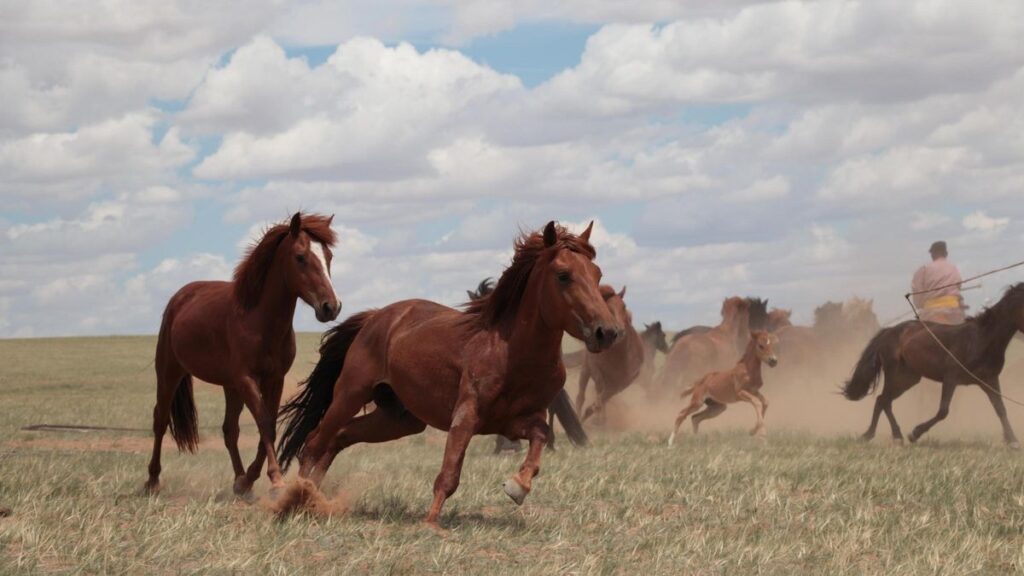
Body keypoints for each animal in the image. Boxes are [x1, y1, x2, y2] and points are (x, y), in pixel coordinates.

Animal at [145, 212, 341, 495]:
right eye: (300, 257)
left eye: (329, 256)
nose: (331, 307)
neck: (258, 320)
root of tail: (180, 297)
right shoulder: (247, 379)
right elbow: (265, 424)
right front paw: (275, 480)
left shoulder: (274, 379)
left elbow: (268, 425)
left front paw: (250, 478)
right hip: (169, 371)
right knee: (160, 420)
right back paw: (152, 480)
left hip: (230, 386)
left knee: (230, 430)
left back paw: (239, 482)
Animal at [277, 221, 622, 530]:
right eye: (564, 276)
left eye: (597, 275)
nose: (607, 332)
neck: (512, 351)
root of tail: (376, 317)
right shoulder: (466, 416)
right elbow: (449, 473)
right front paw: (431, 524)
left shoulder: (514, 421)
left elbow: (540, 437)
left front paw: (517, 487)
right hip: (351, 393)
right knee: (315, 441)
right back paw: (295, 499)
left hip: (400, 419)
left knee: (339, 437)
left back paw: (313, 498)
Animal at [575, 286, 668, 423]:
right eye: (664, 335)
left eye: (624, 306)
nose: (667, 349)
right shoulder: (595, 368)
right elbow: (599, 388)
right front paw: (595, 414)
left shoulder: (622, 383)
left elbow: (605, 396)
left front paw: (596, 414)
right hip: (585, 370)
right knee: (581, 396)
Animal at [843, 283, 1024, 447]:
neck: (980, 340)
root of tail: (890, 331)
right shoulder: (951, 377)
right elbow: (943, 411)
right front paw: (915, 433)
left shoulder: (989, 380)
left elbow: (1000, 409)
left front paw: (1013, 440)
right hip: (895, 374)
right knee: (884, 400)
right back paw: (886, 436)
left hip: (908, 379)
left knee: (883, 400)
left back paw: (882, 435)